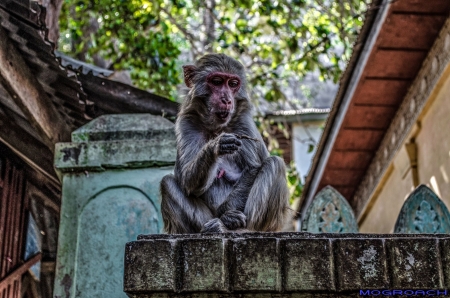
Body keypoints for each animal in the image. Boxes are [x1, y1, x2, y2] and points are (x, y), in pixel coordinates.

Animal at [160, 53, 290, 233]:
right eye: (217, 81)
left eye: (233, 84)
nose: (227, 100)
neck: (216, 127)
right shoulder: (187, 123)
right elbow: (188, 182)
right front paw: (215, 146)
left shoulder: (243, 123)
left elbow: (252, 168)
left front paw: (227, 216)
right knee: (167, 183)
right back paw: (213, 227)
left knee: (275, 163)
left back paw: (236, 227)